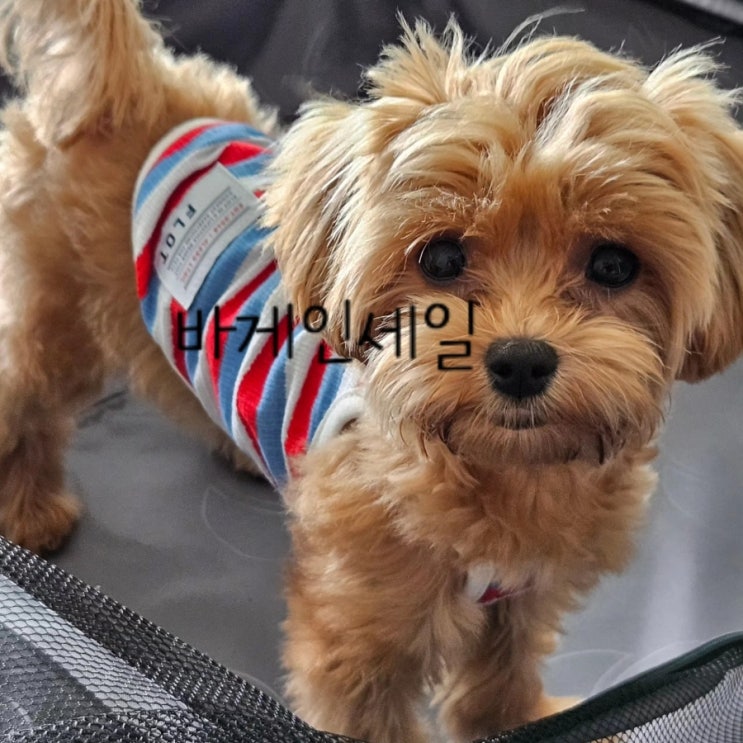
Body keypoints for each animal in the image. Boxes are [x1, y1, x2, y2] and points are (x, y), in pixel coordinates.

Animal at [0, 2, 742, 742]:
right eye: (440, 258)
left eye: (614, 264)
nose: (521, 359)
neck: (504, 474)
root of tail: (131, 89)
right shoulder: (360, 642)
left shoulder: (525, 594)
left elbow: (502, 672)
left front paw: (517, 720)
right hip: (58, 316)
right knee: (24, 399)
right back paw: (29, 510)